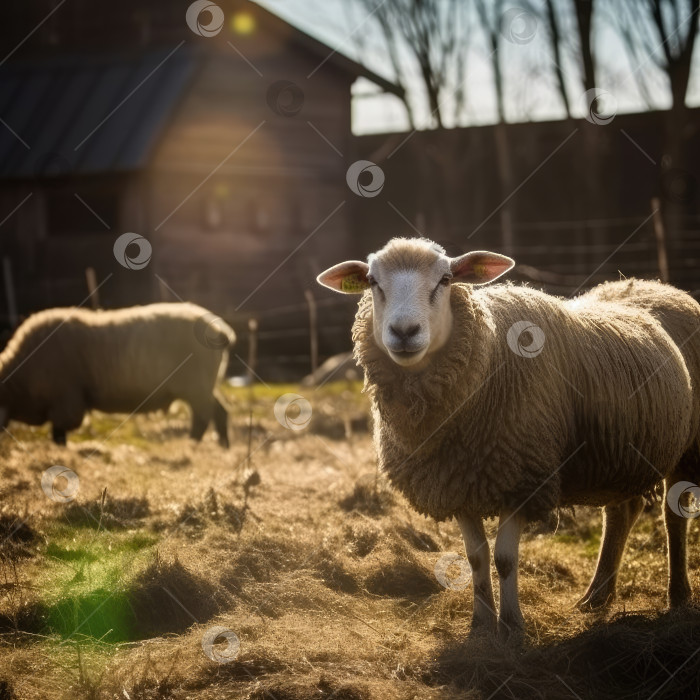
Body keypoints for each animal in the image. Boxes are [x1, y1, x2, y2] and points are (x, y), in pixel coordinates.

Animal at [0, 302, 235, 446]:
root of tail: (220, 330)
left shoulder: (66, 401)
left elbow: (59, 434)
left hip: (196, 385)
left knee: (204, 415)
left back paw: (192, 444)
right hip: (204, 385)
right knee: (220, 410)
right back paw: (222, 445)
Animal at [318, 239, 700, 640]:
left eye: (446, 279)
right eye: (373, 281)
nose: (404, 331)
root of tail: (650, 283)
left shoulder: (521, 478)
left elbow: (504, 559)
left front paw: (513, 626)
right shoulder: (456, 483)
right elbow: (476, 558)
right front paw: (481, 626)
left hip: (690, 448)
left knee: (674, 516)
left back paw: (677, 596)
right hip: (620, 452)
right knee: (621, 511)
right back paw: (596, 597)